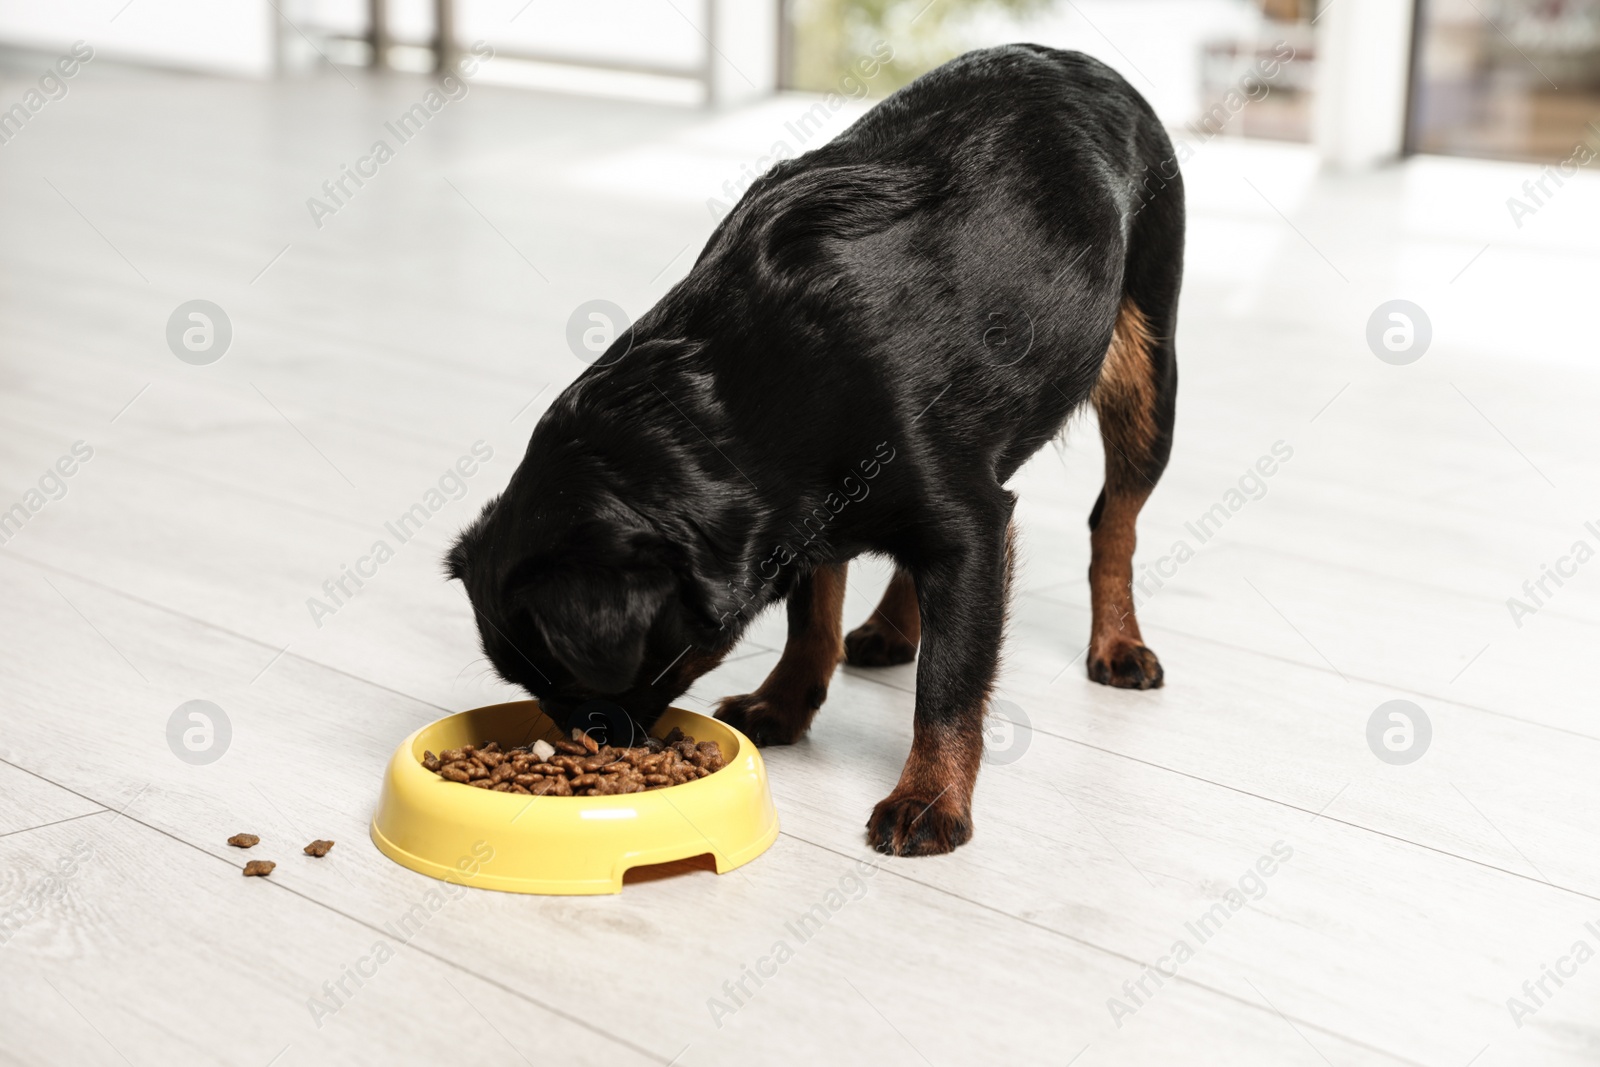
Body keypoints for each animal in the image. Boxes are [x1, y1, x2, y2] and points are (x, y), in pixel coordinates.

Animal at [444, 43, 1184, 857]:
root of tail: (1083, 61)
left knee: (1114, 521)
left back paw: (1116, 641)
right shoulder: (809, 513)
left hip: (1146, 375)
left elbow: (950, 681)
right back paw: (894, 626)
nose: (590, 741)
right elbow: (813, 616)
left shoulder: (967, 524)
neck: (721, 404)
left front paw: (930, 796)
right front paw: (786, 703)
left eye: (579, 687)